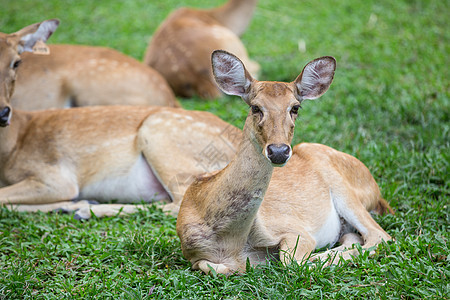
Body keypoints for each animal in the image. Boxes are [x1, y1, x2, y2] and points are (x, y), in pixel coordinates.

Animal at [176, 50, 394, 276]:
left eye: (295, 107)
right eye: (255, 107)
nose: (279, 151)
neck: (228, 242)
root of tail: (374, 186)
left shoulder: (296, 231)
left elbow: (291, 260)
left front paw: (316, 258)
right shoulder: (196, 257)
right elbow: (212, 266)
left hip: (343, 187)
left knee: (380, 235)